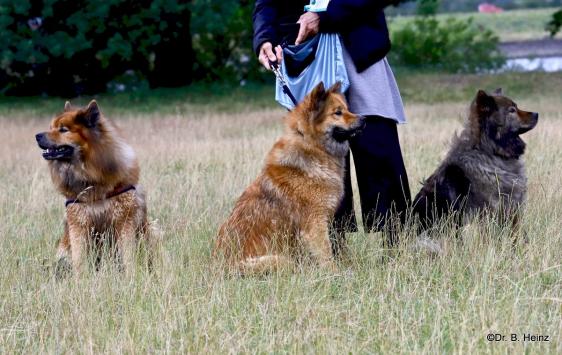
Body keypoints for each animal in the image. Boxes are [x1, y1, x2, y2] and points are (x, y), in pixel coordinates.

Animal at [35, 101, 154, 274]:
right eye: (50, 127)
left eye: (63, 129)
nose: (37, 135)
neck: (90, 174)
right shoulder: (78, 223)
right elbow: (79, 259)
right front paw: (81, 278)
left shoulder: (124, 221)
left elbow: (128, 256)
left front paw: (131, 275)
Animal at [213, 82, 364, 274]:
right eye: (337, 112)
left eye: (347, 109)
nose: (364, 119)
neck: (313, 146)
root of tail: (218, 266)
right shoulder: (315, 225)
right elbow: (326, 255)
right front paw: (336, 274)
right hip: (280, 260)